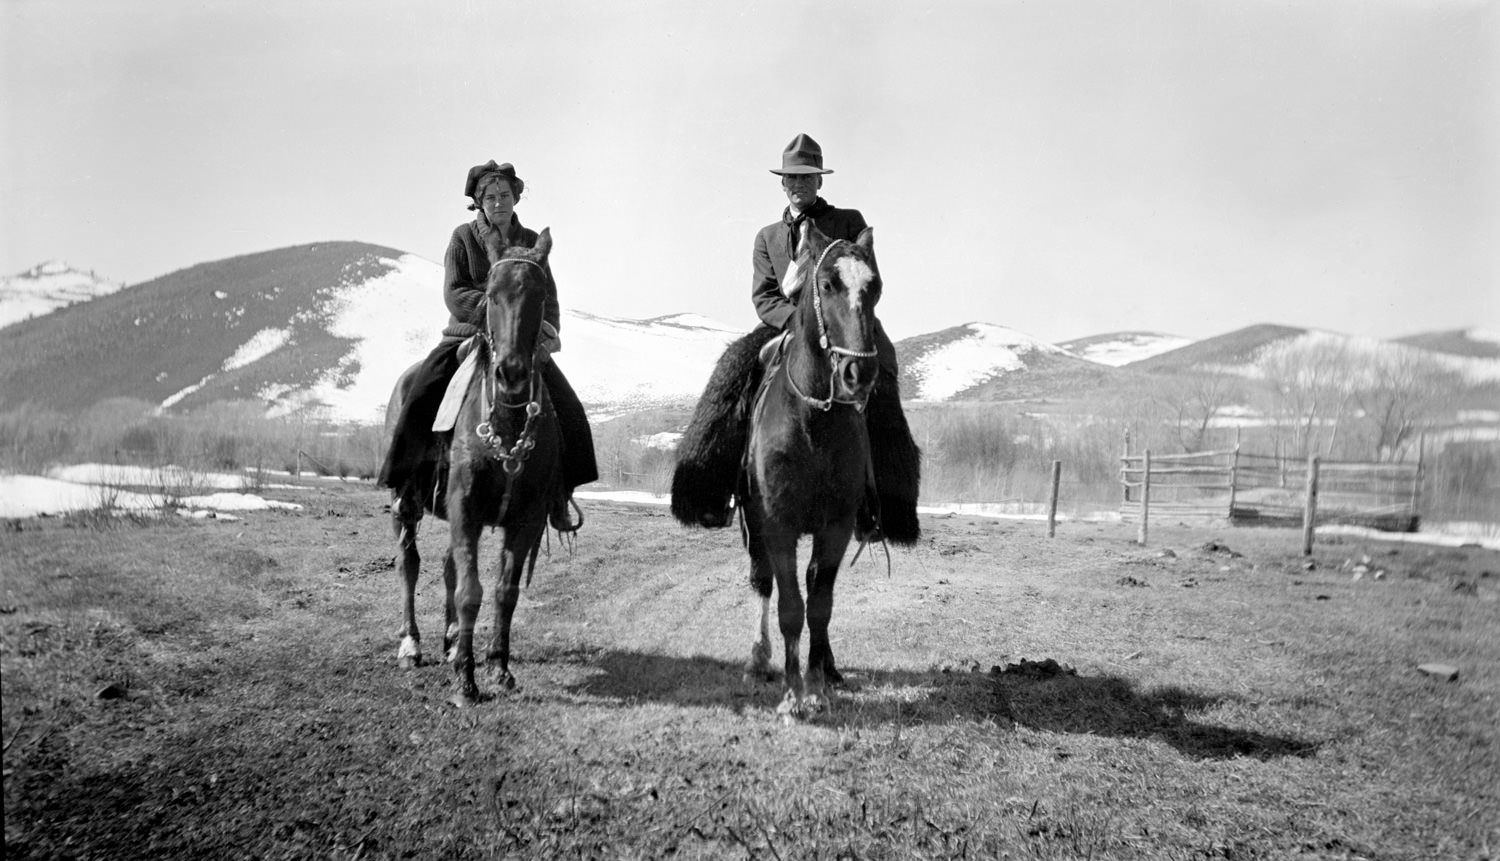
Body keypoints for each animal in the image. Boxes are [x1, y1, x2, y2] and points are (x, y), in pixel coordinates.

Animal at [387, 229, 564, 708]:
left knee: (449, 566)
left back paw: (451, 642)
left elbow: (504, 592)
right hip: (406, 503)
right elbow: (470, 592)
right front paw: (466, 682)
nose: (512, 373)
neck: (507, 421)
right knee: (409, 563)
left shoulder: (525, 518)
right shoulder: (464, 509)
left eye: (541, 295)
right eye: (490, 294)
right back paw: (411, 644)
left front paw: (498, 667)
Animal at [708, 222, 882, 723]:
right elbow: (789, 606)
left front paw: (818, 686)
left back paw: (828, 669)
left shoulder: (836, 527)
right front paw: (792, 694)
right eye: (826, 284)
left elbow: (820, 605)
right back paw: (759, 659)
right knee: (762, 583)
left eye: (875, 287)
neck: (812, 423)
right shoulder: (778, 525)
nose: (858, 372)